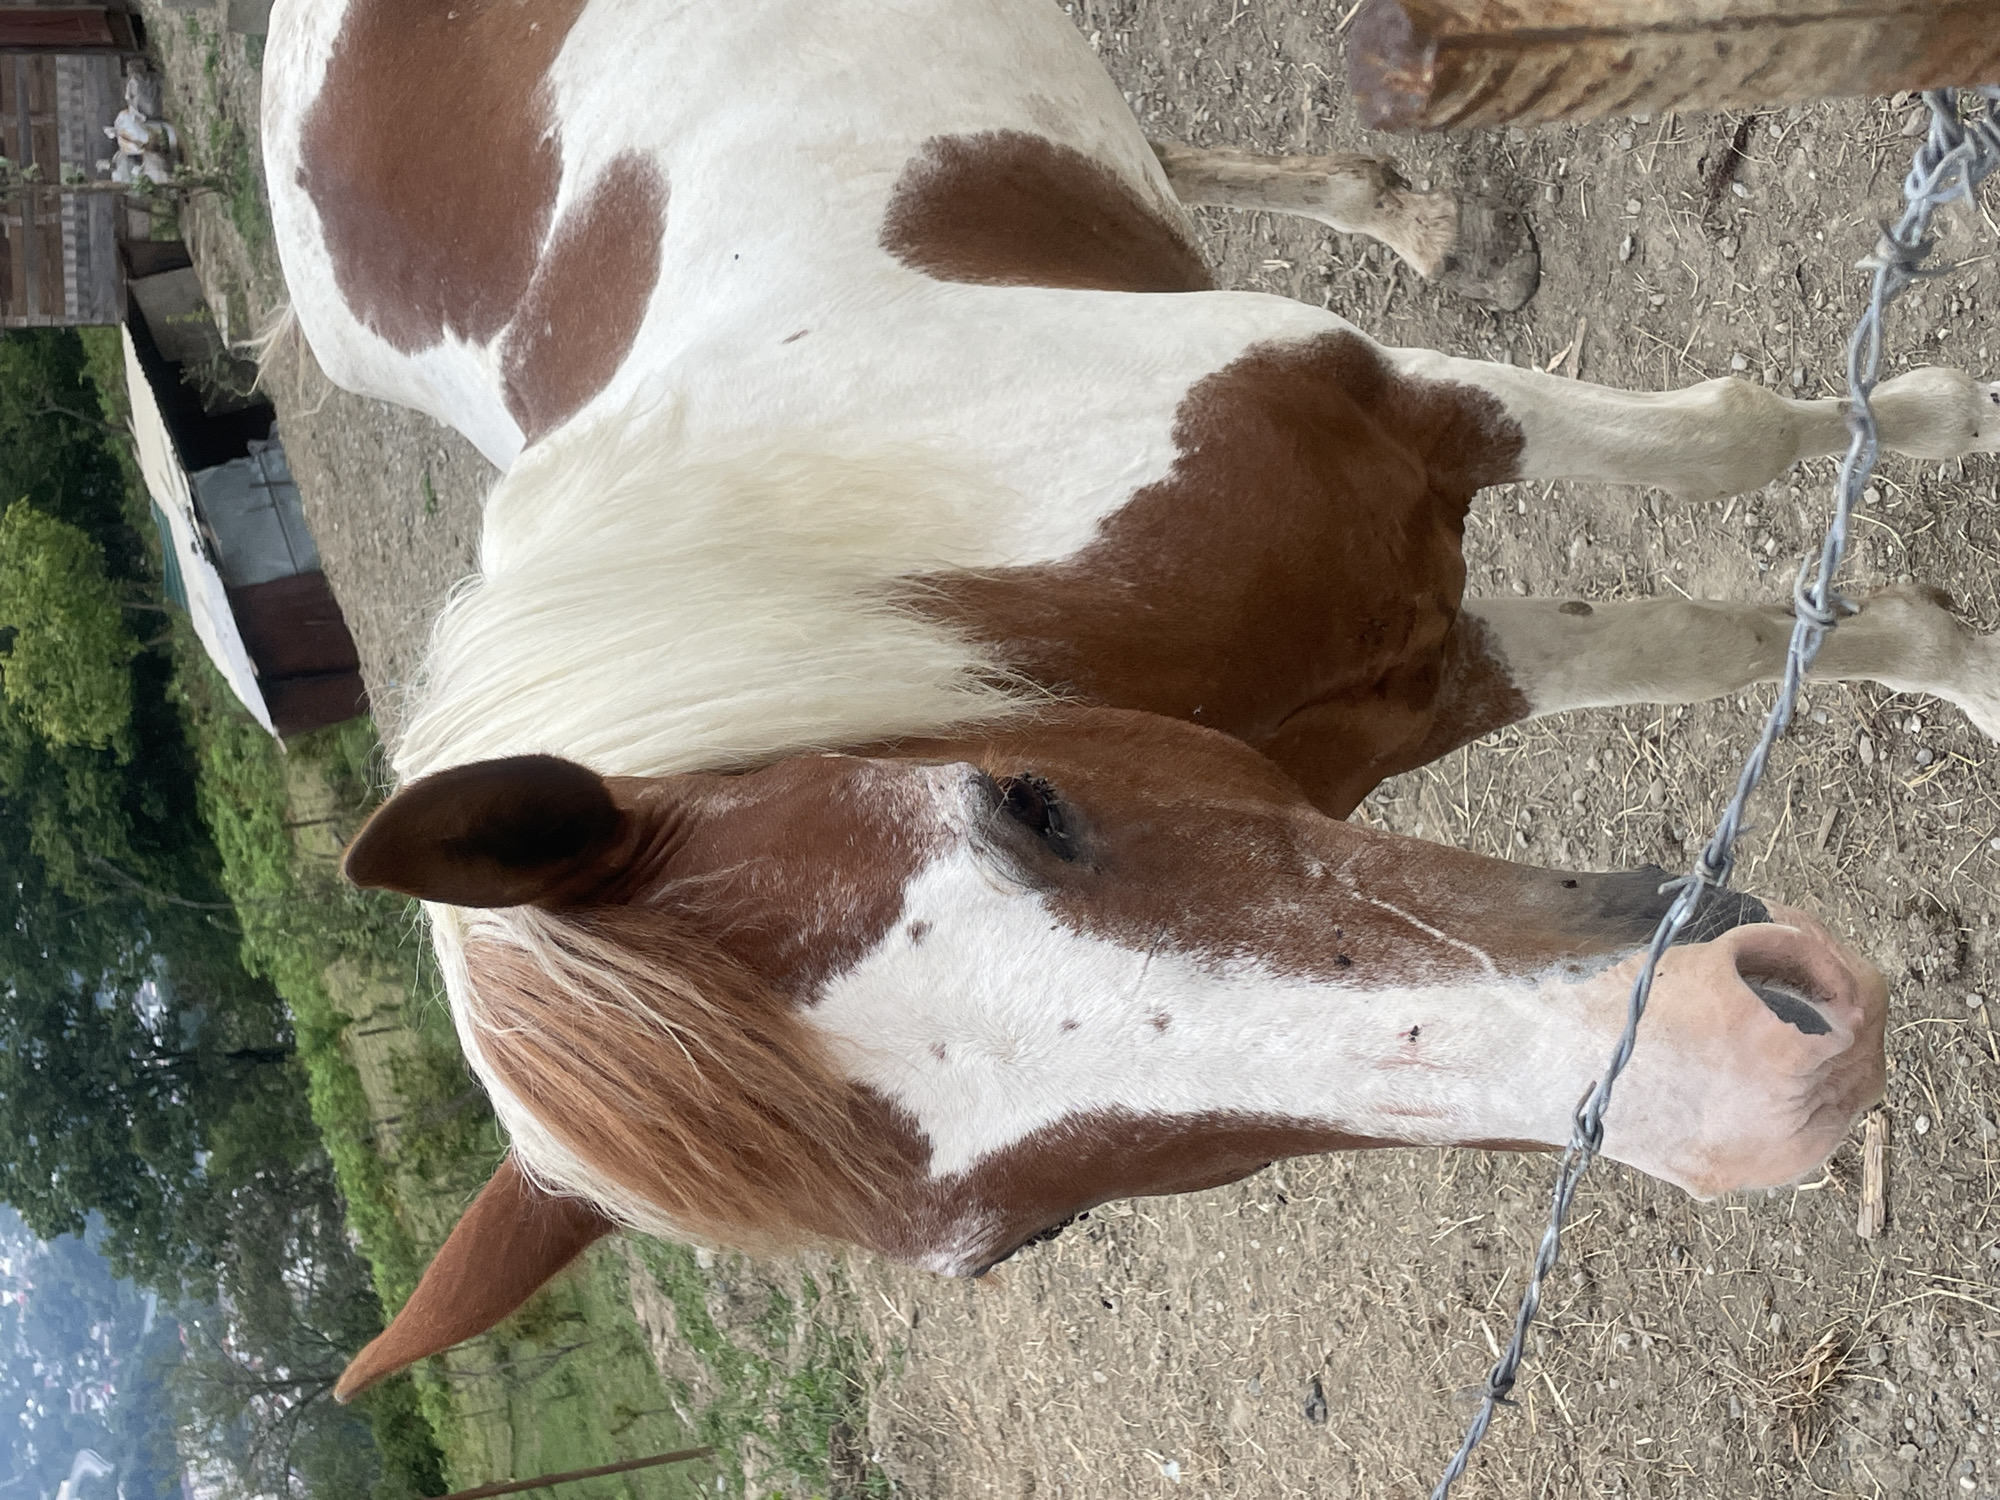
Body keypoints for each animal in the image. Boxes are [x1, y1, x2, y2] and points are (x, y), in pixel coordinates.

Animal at [259, 0, 2000, 1401]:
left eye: (1023, 802)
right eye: (1039, 1230)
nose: (1745, 1092)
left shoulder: (1414, 413)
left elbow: (1726, 443)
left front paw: (1943, 458)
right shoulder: (1418, 684)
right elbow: (1700, 637)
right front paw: (1936, 630)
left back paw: (1433, 226)